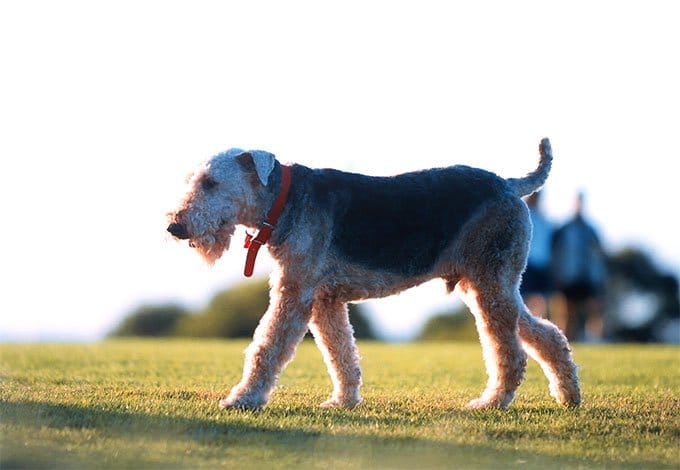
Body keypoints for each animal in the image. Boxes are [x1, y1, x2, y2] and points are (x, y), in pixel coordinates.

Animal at [167, 138, 580, 410]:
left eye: (210, 183)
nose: (175, 226)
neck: (283, 201)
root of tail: (509, 184)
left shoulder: (295, 292)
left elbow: (267, 347)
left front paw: (243, 398)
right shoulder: (325, 299)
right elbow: (341, 354)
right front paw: (343, 401)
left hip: (490, 284)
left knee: (511, 351)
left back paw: (492, 402)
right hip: (487, 285)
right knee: (547, 335)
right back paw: (568, 395)